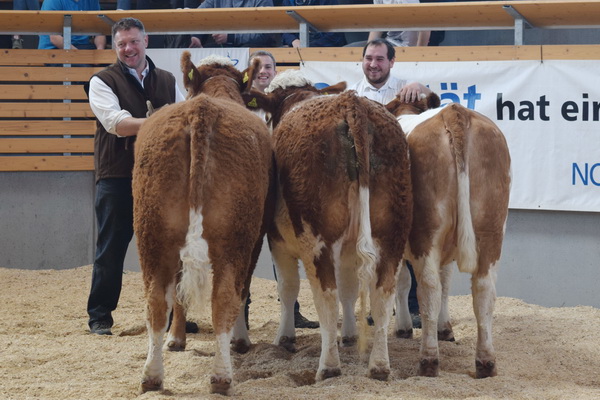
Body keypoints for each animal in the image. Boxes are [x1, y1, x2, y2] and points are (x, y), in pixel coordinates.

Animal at [135, 51, 274, 396]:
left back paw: (152, 376)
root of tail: (202, 110)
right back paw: (223, 375)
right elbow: (242, 291)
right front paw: (239, 339)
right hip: (236, 236)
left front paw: (176, 338)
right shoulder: (255, 238)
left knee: (157, 300)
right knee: (226, 297)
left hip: (152, 232)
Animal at [244, 71, 412, 382]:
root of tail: (352, 103)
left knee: (326, 296)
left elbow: (288, 287)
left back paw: (329, 366)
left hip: (317, 240)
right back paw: (379, 366)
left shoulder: (277, 240)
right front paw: (348, 335)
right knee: (383, 293)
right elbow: (348, 288)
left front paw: (284, 337)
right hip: (393, 233)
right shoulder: (346, 248)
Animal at [384, 93, 510, 378]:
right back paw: (486, 362)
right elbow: (447, 283)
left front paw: (403, 327)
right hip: (492, 229)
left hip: (427, 230)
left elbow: (403, 282)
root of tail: (454, 112)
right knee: (484, 290)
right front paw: (445, 329)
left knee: (429, 288)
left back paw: (428, 360)